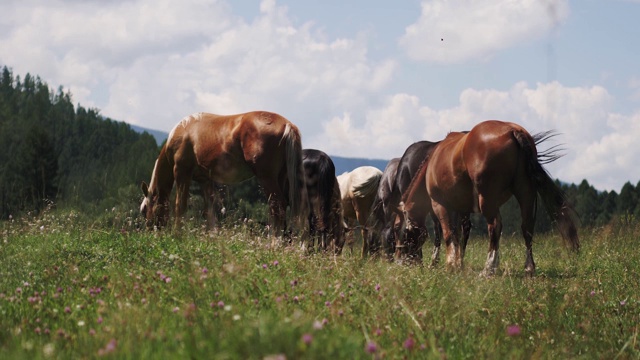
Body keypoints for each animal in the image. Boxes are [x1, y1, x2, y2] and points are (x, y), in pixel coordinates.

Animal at [141, 109, 310, 239]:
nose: (149, 232)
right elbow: (209, 211)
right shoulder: (205, 180)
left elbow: (180, 206)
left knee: (277, 206)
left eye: (144, 210)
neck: (184, 131)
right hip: (282, 178)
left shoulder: (182, 173)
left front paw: (177, 235)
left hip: (266, 178)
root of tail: (287, 124)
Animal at [424, 120, 580, 276]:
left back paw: (488, 268)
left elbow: (449, 233)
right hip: (525, 192)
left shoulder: (440, 204)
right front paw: (458, 264)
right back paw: (529, 268)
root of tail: (514, 131)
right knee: (527, 227)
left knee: (495, 226)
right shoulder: (460, 209)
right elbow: (459, 234)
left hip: (487, 199)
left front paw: (451, 265)